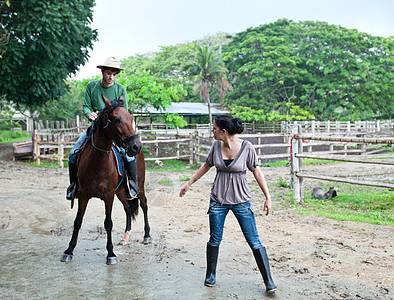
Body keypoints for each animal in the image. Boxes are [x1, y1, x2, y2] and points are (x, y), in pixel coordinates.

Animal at [61, 95, 151, 264]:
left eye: (131, 118)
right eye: (116, 119)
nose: (136, 146)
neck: (97, 163)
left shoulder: (108, 196)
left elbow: (108, 224)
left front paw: (111, 253)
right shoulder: (83, 195)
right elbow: (77, 221)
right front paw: (69, 250)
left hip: (139, 188)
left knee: (144, 205)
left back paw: (147, 235)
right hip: (121, 192)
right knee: (128, 209)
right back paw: (125, 237)